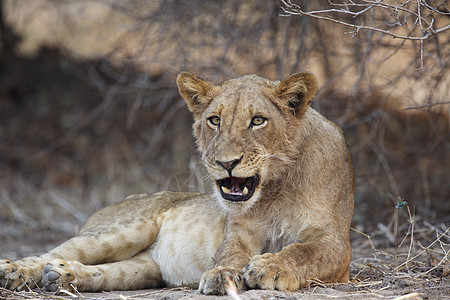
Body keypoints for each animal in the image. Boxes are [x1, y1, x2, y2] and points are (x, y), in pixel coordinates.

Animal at [0, 71, 356, 294]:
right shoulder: (239, 232)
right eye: (214, 120)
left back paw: (63, 276)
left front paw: (272, 267)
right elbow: (229, 254)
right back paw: (17, 271)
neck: (275, 188)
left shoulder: (336, 243)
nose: (226, 163)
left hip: (142, 269)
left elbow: (305, 252)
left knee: (103, 271)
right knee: (51, 252)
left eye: (258, 121)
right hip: (122, 230)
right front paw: (222, 275)